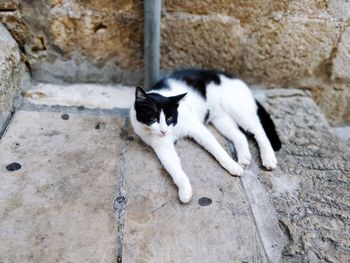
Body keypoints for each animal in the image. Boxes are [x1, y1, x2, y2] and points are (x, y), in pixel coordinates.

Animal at [130, 69, 280, 203]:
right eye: (153, 118)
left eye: (169, 118)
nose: (163, 131)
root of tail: (229, 76)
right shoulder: (162, 146)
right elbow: (173, 168)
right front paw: (185, 191)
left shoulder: (197, 128)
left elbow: (217, 148)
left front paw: (232, 166)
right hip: (221, 119)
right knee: (240, 135)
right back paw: (244, 157)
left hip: (238, 109)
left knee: (259, 131)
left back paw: (268, 158)